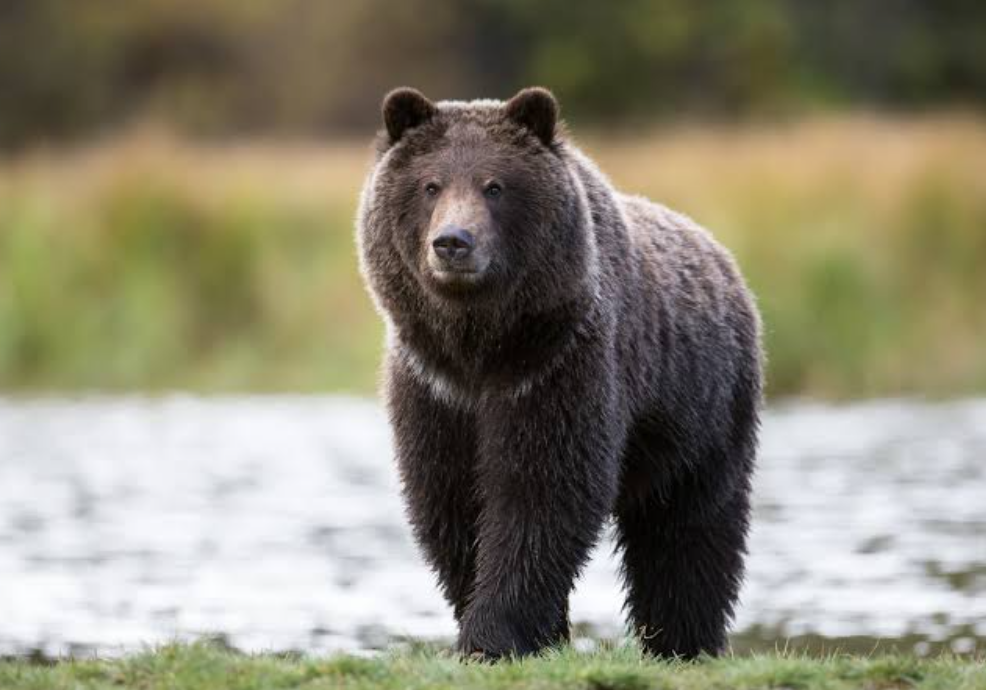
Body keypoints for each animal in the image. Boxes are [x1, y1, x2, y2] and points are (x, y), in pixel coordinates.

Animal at [356, 86, 763, 660]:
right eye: (430, 185)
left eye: (495, 185)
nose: (453, 242)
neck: (481, 347)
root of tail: (721, 256)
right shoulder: (433, 387)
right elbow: (450, 500)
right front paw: (528, 632)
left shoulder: (559, 365)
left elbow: (541, 494)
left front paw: (494, 634)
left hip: (704, 411)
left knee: (689, 528)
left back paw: (682, 640)